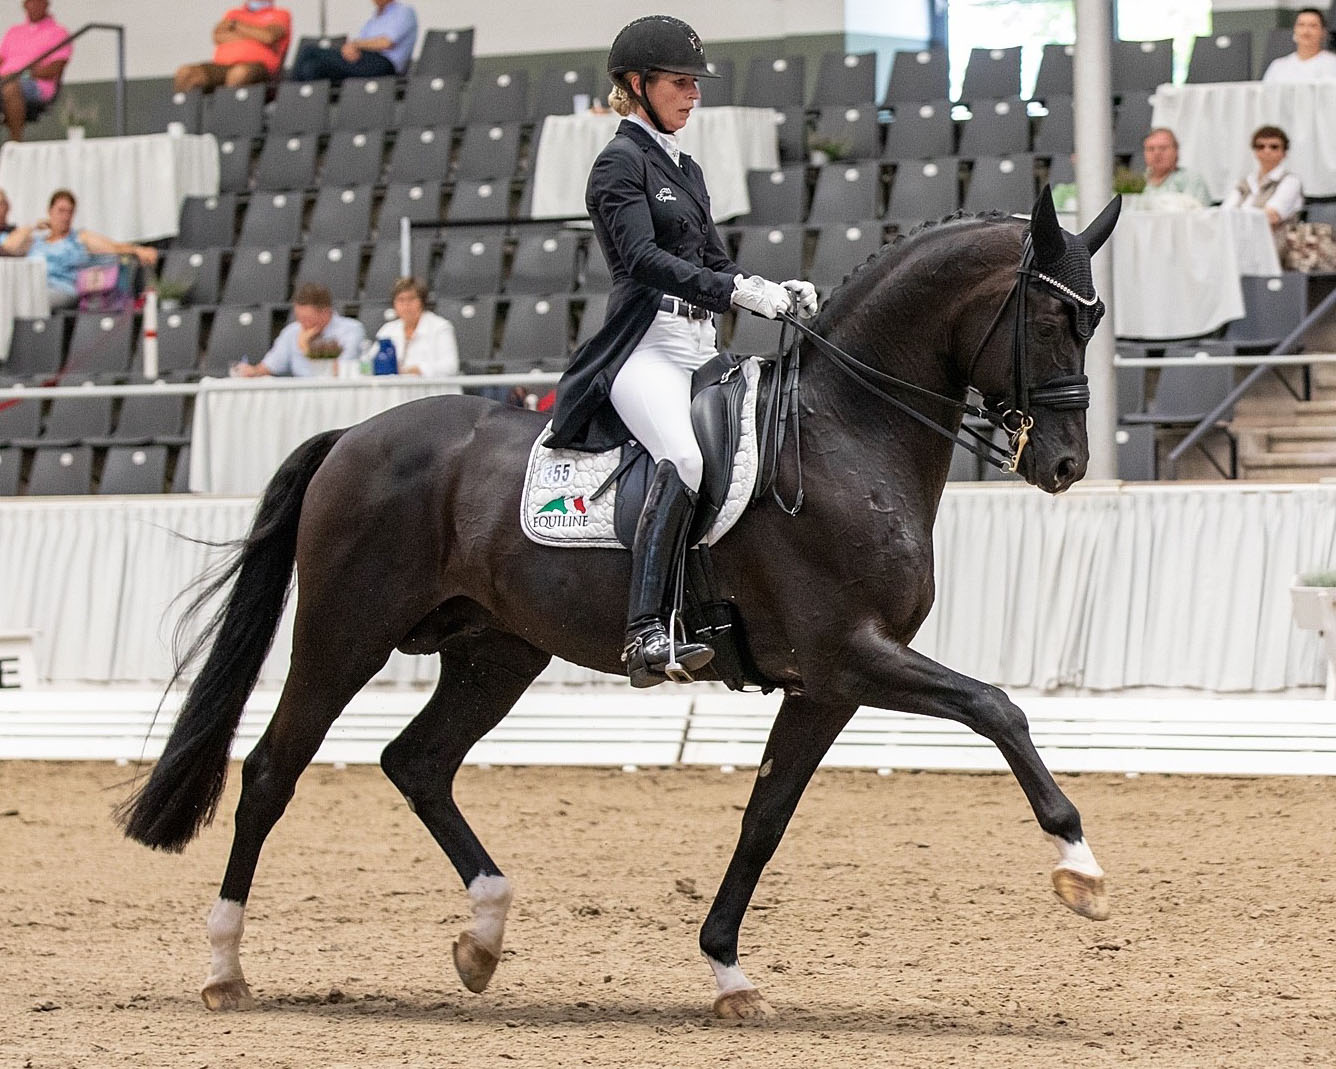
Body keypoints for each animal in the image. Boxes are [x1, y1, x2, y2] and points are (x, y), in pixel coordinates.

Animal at [120, 188, 1116, 1020]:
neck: (844, 434)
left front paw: (728, 972)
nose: (1066, 463)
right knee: (270, 773)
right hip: (343, 635)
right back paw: (225, 967)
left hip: (495, 652)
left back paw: (483, 937)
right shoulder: (850, 653)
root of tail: (355, 433)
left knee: (418, 762)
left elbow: (765, 818)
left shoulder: (826, 684)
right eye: (1051, 317)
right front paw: (1079, 866)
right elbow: (997, 707)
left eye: (1093, 318)